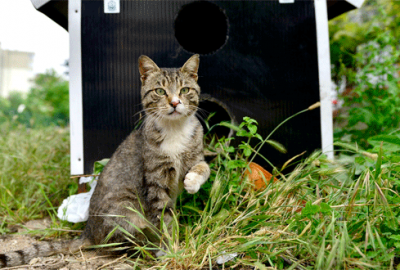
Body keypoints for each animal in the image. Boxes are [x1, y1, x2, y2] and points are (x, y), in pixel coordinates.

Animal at [0, 53, 211, 266]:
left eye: (184, 90)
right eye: (160, 91)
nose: (175, 103)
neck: (174, 129)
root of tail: (88, 232)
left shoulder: (194, 155)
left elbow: (204, 167)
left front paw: (192, 182)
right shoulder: (155, 183)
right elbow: (164, 220)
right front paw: (169, 251)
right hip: (127, 210)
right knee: (116, 244)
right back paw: (145, 250)